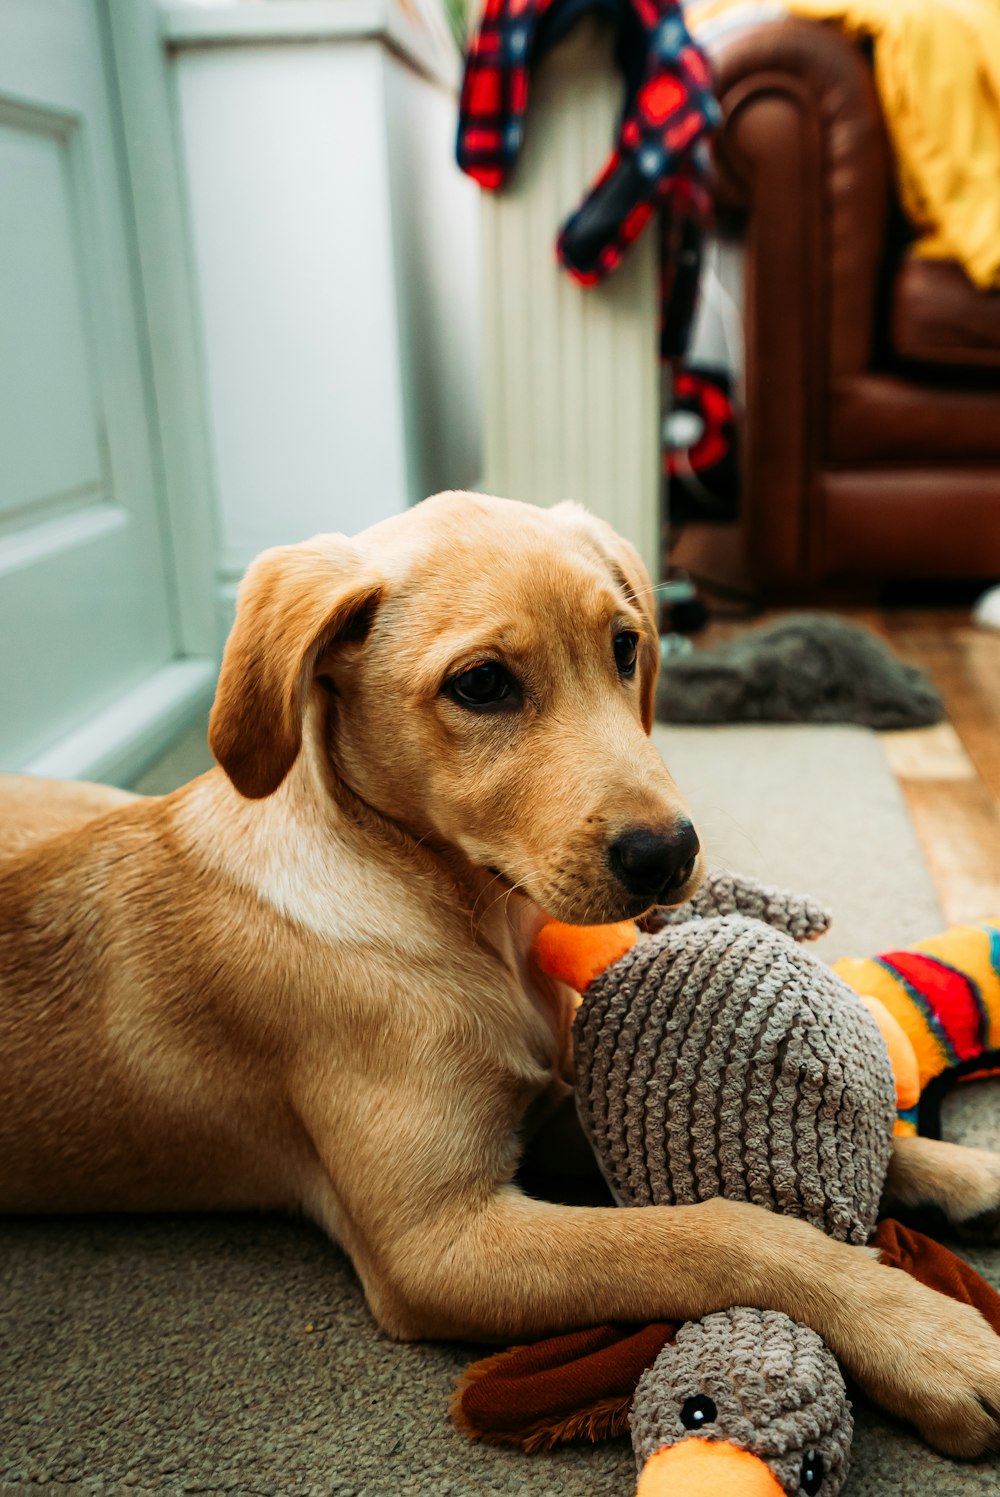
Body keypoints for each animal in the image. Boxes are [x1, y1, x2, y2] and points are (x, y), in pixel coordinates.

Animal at [1, 497, 999, 1455]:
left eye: (626, 646)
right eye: (481, 684)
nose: (672, 855)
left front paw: (966, 1171)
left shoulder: (557, 1097)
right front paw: (923, 1335)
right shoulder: (437, 1242)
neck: (466, 915)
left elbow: (873, 1144)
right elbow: (718, 1232)